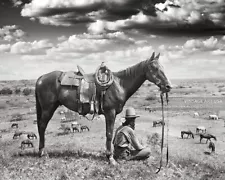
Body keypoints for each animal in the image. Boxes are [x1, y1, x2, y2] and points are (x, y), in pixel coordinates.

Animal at [34, 51, 171, 165]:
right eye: (155, 68)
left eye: (163, 68)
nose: (168, 86)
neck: (119, 84)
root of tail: (41, 78)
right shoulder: (110, 112)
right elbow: (109, 134)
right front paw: (110, 158)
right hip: (48, 108)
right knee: (42, 126)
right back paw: (42, 153)